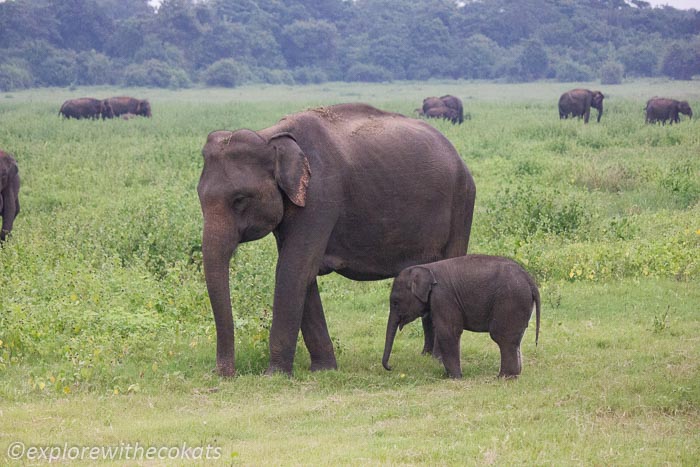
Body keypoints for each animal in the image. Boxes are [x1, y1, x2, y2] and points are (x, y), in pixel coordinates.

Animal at [200, 102, 478, 376]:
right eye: (199, 197)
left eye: (240, 200)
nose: (224, 374)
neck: (270, 136)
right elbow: (303, 274)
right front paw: (324, 370)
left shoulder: (320, 196)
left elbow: (293, 269)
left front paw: (275, 375)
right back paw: (428, 356)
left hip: (462, 202)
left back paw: (439, 360)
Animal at [382, 256, 540, 380]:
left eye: (395, 302)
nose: (391, 367)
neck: (426, 268)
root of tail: (530, 281)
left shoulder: (443, 297)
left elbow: (448, 331)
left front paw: (455, 378)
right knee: (514, 340)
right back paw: (513, 376)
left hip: (510, 302)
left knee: (502, 338)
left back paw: (504, 378)